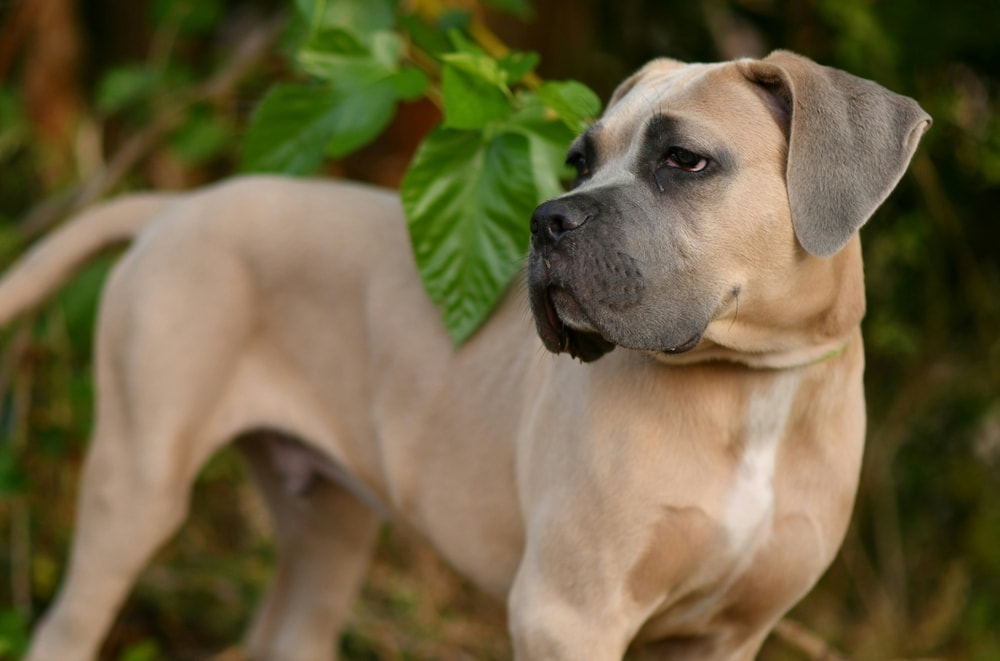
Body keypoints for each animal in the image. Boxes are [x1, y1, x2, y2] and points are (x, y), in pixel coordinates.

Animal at [3, 51, 928, 660]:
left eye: (684, 159)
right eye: (579, 160)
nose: (548, 220)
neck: (750, 385)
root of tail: (173, 208)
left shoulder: (728, 633)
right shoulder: (567, 612)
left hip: (327, 529)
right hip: (136, 486)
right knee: (69, 622)